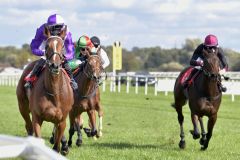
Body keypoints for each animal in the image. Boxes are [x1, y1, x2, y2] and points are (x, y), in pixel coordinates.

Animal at [15, 25, 73, 154]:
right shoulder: (37, 118)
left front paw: (63, 147)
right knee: (28, 126)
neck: (54, 92)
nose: (54, 65)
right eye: (47, 46)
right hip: (23, 107)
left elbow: (56, 146)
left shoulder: (61, 121)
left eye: (63, 46)